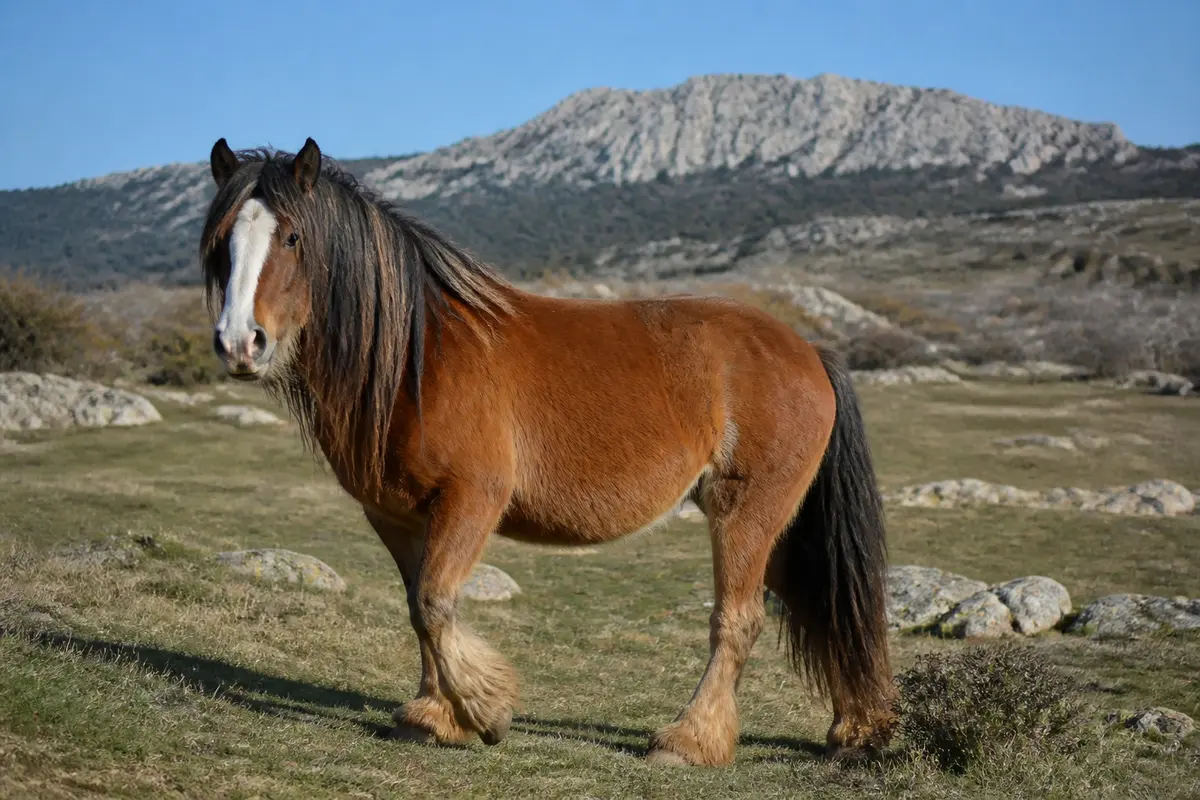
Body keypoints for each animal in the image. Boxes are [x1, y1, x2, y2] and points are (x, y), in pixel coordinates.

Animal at [199, 136, 896, 767]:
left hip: (745, 513)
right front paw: (434, 716)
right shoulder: (396, 516)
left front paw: (485, 712)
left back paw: (689, 741)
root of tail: (809, 351)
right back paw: (855, 731)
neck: (417, 360)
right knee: (823, 608)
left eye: (292, 238)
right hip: (777, 525)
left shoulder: (471, 500)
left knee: (737, 619)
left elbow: (435, 603)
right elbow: (420, 608)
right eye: (221, 242)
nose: (239, 342)